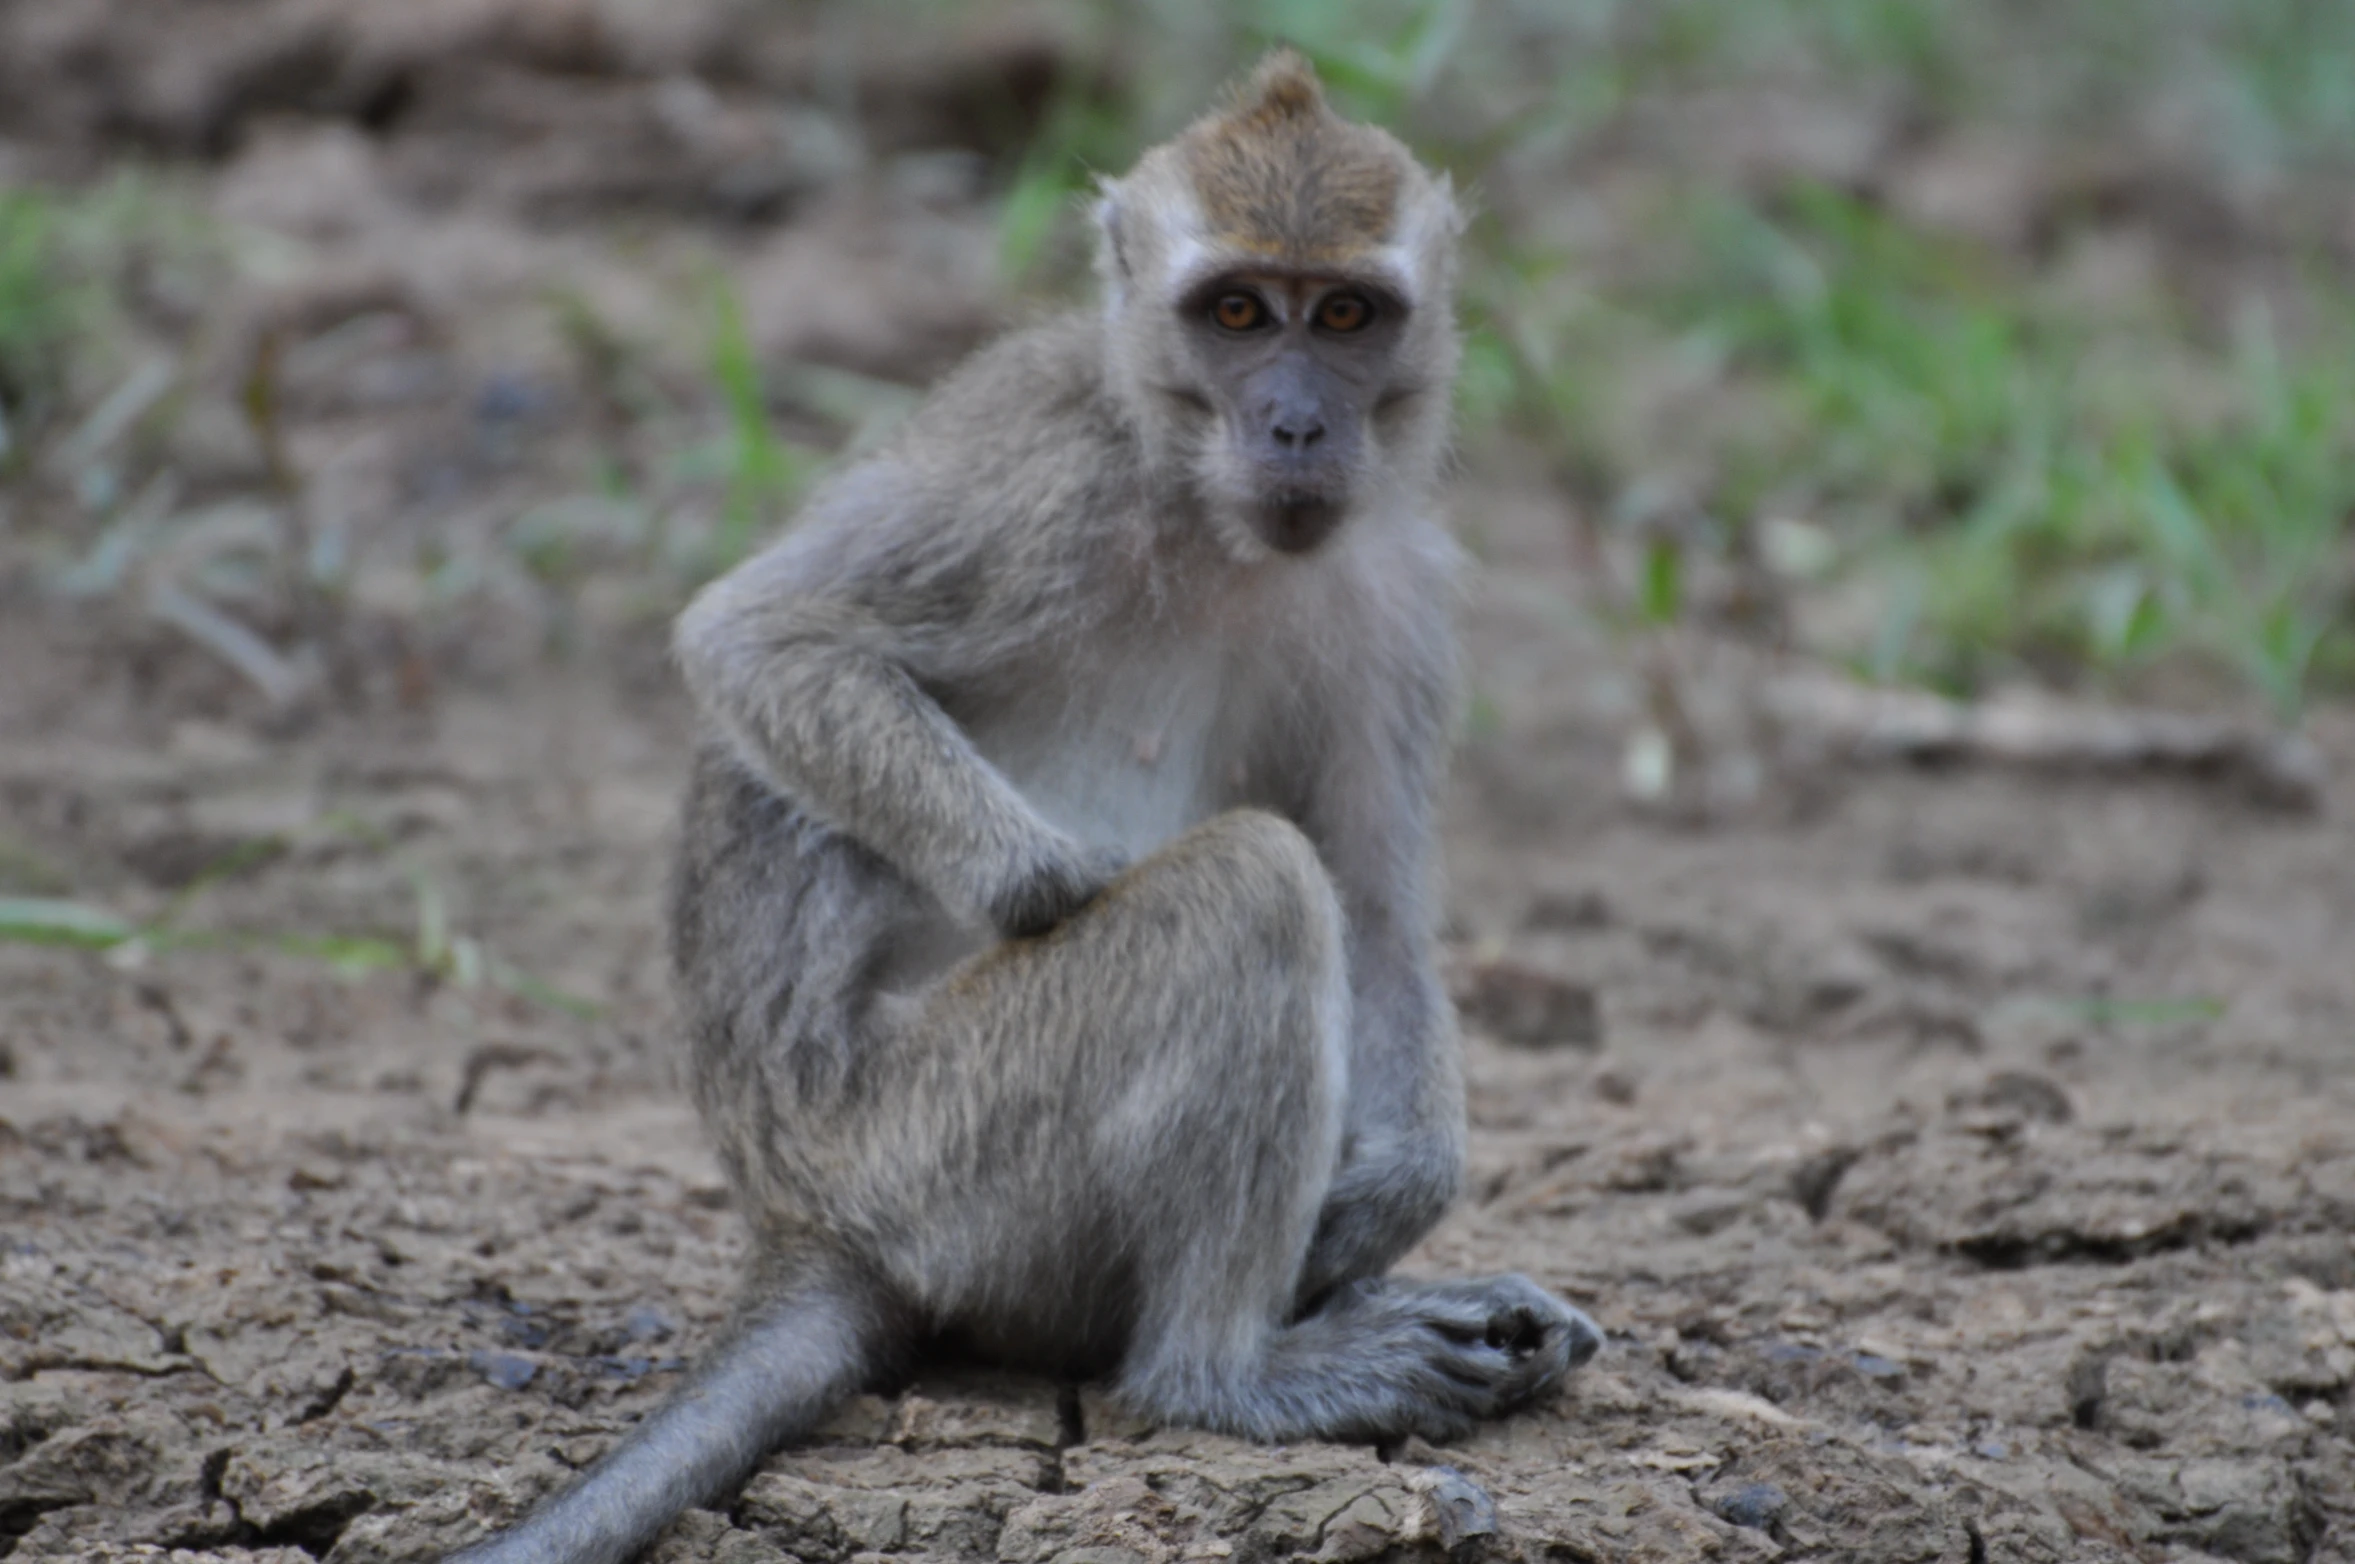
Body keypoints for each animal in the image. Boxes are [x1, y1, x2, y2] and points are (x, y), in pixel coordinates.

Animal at [449, 48, 1601, 1564]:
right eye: (1237, 312)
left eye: (1345, 313)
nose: (1297, 421)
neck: (1191, 495)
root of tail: (801, 1213)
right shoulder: (1035, 475)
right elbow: (758, 638)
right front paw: (1061, 880)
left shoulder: (1389, 590)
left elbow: (1374, 899)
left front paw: (1397, 1193)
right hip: (940, 1158)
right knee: (1245, 887)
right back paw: (1226, 1372)